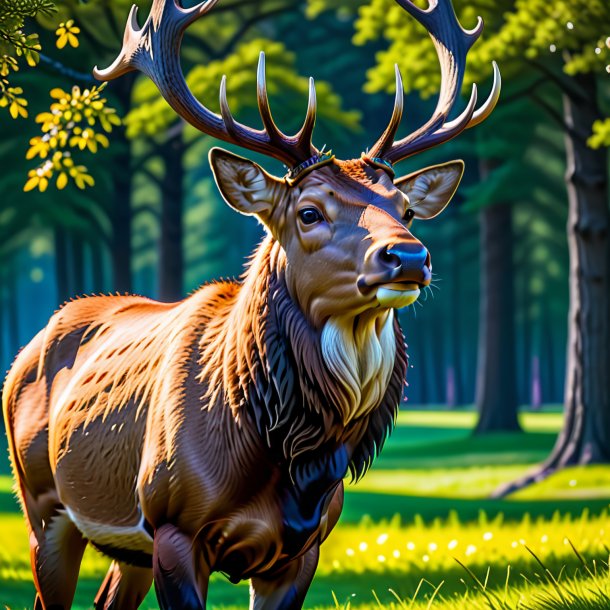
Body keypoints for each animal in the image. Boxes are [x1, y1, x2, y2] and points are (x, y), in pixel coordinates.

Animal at [3, 0, 498, 604]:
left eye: (404, 209)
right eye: (309, 211)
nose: (408, 256)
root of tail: (22, 355)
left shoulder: (303, 548)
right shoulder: (173, 525)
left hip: (125, 546)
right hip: (42, 505)